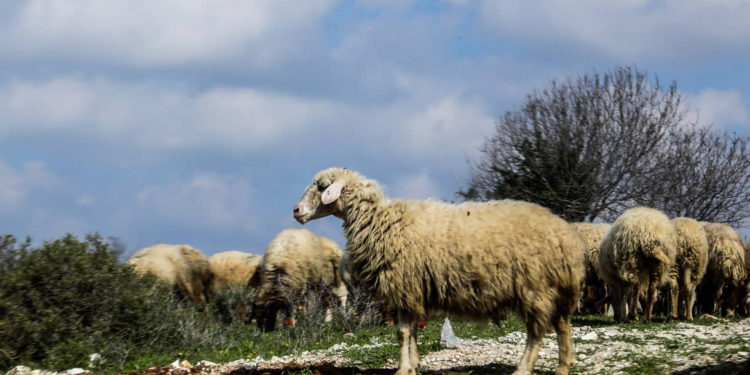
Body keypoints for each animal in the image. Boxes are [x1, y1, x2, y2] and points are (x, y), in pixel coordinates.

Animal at [294, 168, 588, 375]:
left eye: (321, 186)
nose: (296, 211)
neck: (379, 221)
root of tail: (564, 235)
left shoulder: (405, 283)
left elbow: (402, 332)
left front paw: (404, 369)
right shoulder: (412, 289)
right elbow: (412, 331)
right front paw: (414, 363)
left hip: (535, 287)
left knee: (536, 333)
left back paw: (523, 369)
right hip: (555, 289)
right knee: (562, 326)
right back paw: (563, 366)